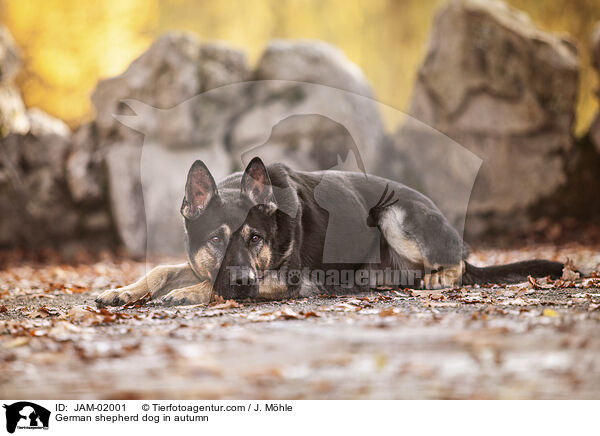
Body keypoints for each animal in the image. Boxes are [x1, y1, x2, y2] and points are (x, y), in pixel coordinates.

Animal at [96, 158, 564, 306]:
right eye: (215, 239)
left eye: (254, 239)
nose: (243, 280)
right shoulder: (199, 262)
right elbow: (160, 269)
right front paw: (122, 290)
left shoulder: (290, 279)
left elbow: (210, 285)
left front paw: (188, 294)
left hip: (391, 212)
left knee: (458, 267)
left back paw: (436, 278)